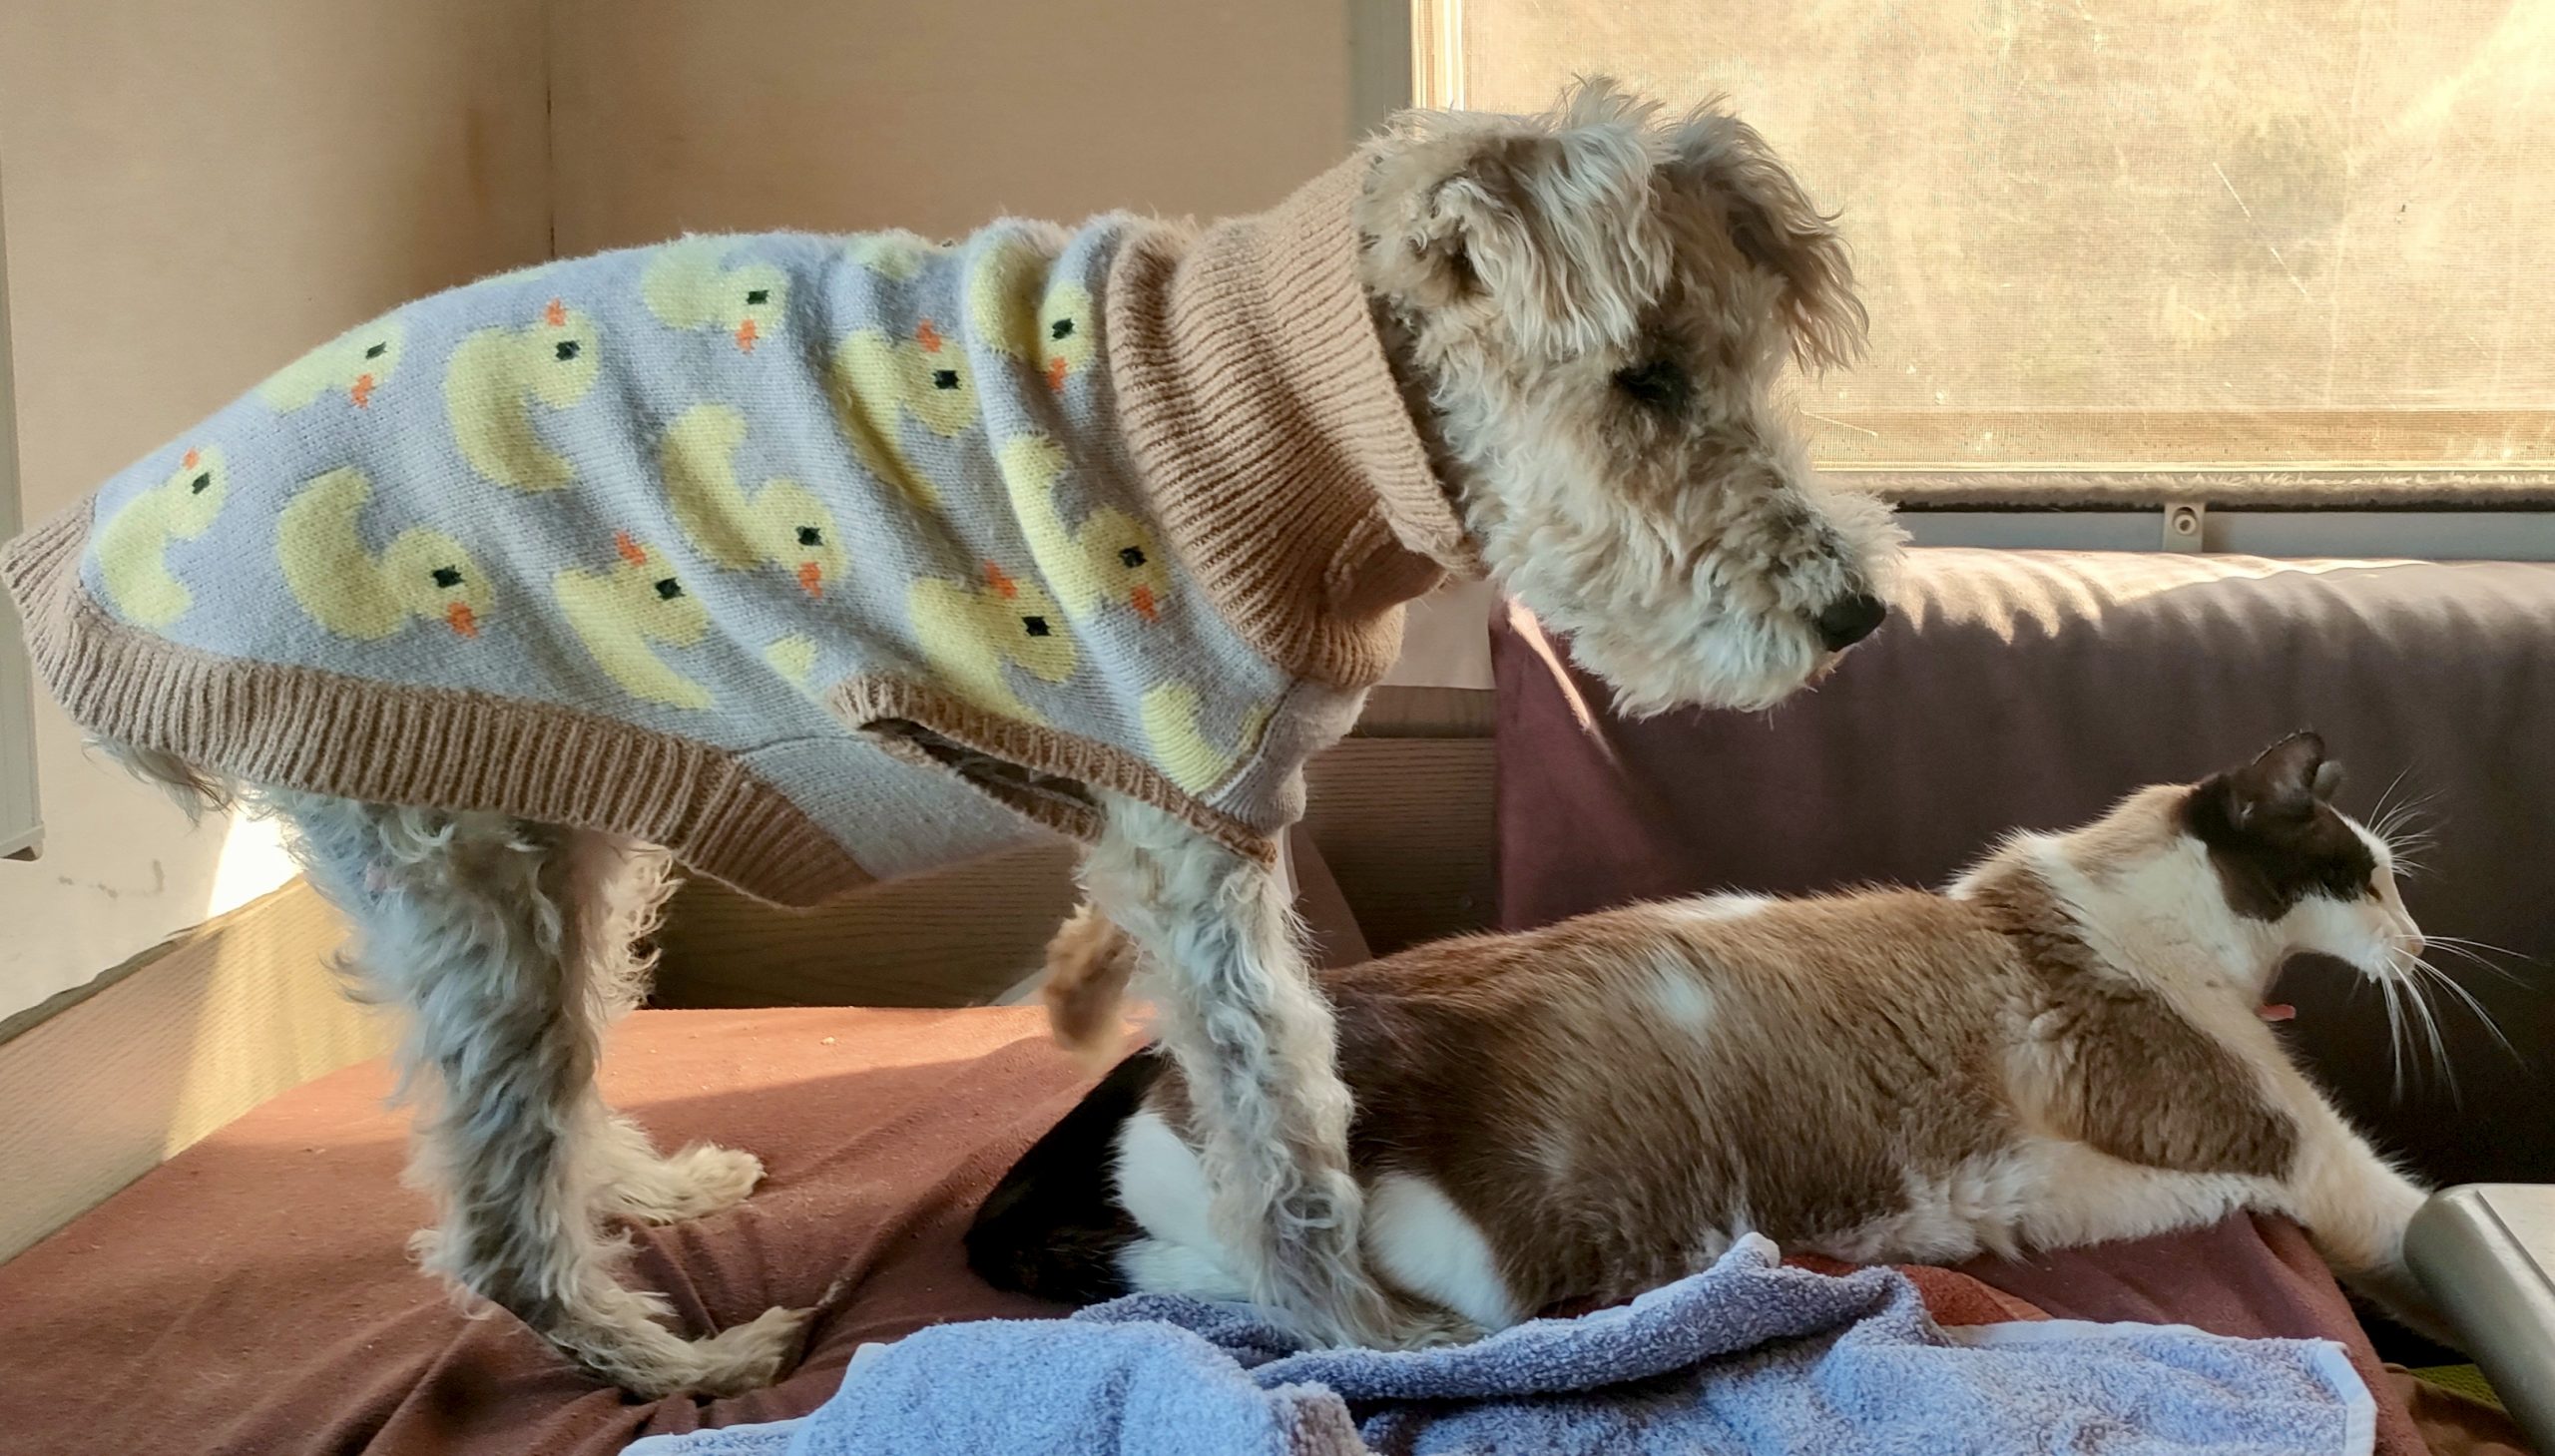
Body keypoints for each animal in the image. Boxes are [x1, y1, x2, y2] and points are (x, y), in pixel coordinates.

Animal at [0, 79, 1900, 1395]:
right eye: (1644, 379)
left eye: (1735, 363)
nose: (1856, 617)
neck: (1283, 404)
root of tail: (105, 527)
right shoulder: (1195, 837)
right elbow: (1287, 1130)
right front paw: (1371, 1331)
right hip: (455, 850)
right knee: (486, 1218)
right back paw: (682, 1356)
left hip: (564, 822)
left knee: (555, 1103)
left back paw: (656, 1191)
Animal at [967, 732, 2454, 1345]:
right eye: (2371, 877)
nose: (2423, 942)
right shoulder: (2313, 1162)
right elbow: (2413, 1219)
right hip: (1472, 1262)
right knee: (1240, 1286)